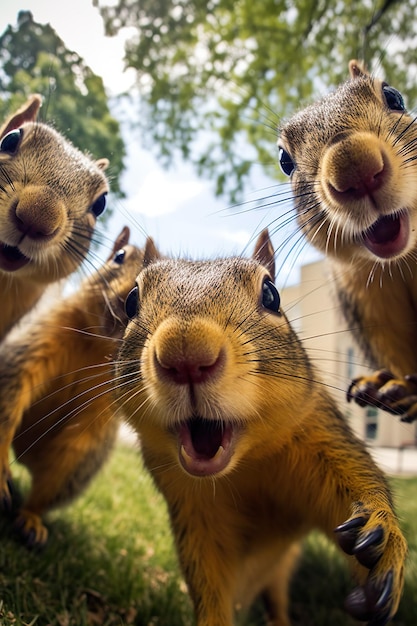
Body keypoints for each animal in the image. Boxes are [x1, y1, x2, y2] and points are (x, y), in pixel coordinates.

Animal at [0, 225, 156, 544]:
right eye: (119, 256)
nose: (127, 303)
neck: (98, 343)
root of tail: (24, 456)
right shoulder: (38, 341)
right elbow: (13, 392)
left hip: (77, 461)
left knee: (50, 485)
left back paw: (31, 519)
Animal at [114, 229, 406, 624]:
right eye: (131, 302)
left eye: (272, 295)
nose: (185, 352)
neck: (248, 460)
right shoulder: (192, 507)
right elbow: (208, 580)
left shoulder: (321, 432)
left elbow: (359, 477)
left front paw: (381, 533)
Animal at [276, 61, 417, 422]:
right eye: (284, 161)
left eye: (394, 97)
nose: (354, 167)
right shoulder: (366, 296)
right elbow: (393, 347)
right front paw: (400, 385)